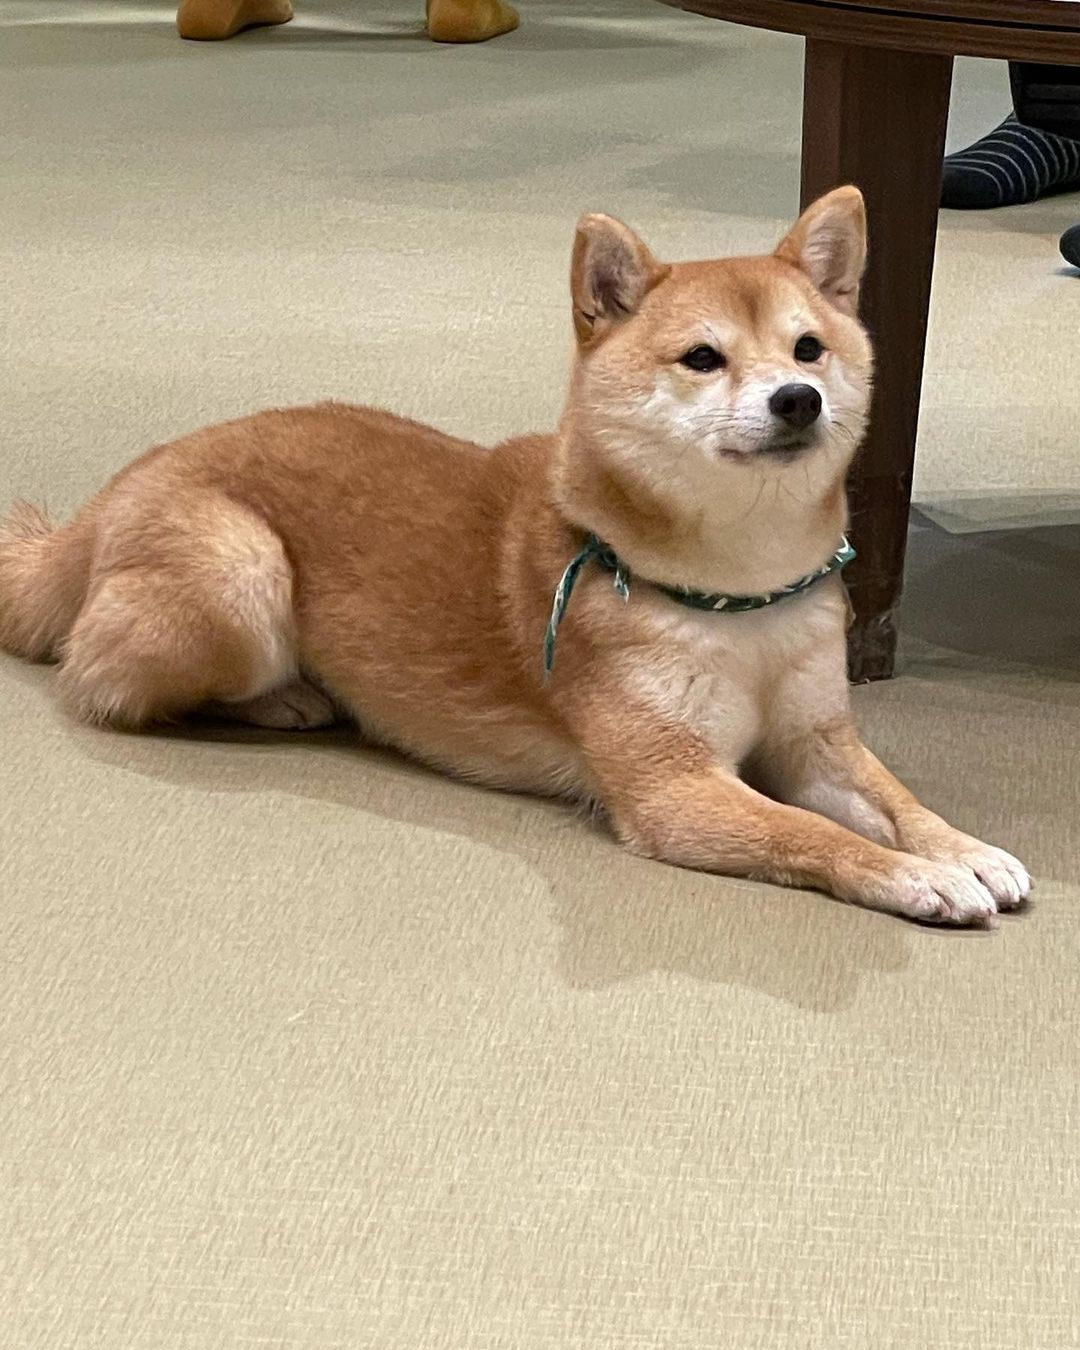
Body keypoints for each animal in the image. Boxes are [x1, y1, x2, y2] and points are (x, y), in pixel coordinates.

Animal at [0, 190, 1031, 923]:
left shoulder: (818, 743)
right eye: (703, 358)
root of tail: (122, 482)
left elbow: (899, 802)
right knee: (98, 680)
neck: (741, 593)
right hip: (240, 576)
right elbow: (814, 836)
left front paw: (963, 850)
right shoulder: (676, 787)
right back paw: (285, 697)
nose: (797, 400)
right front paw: (911, 877)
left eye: (809, 349)